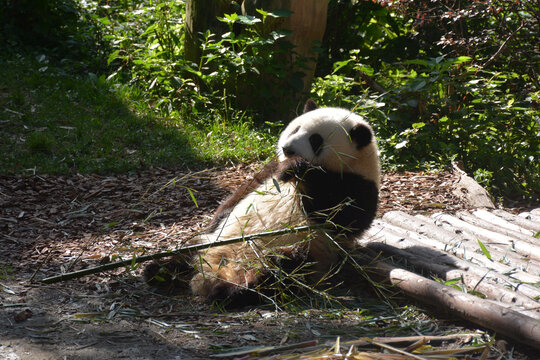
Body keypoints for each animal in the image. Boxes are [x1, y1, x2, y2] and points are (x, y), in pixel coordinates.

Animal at [143, 99, 380, 306]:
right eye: (296, 129)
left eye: (316, 140)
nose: (288, 149)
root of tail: (215, 272)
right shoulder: (269, 171)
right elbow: (242, 193)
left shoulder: (357, 185)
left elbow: (337, 215)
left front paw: (299, 168)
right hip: (209, 244)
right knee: (188, 253)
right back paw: (159, 270)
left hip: (298, 251)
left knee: (278, 273)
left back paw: (229, 292)